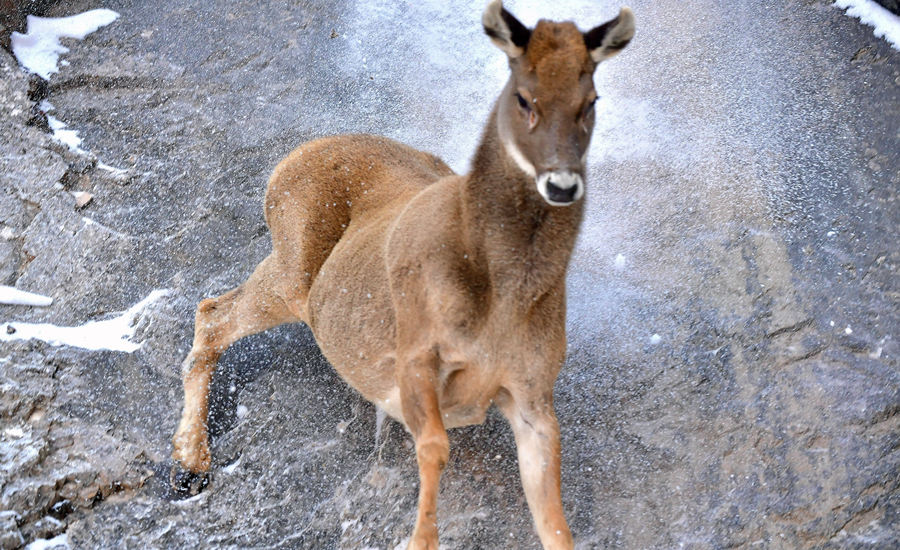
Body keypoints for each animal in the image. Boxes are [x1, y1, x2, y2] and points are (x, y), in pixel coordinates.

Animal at [170, 1, 635, 548]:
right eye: (523, 96)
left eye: (591, 99)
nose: (561, 182)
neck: (497, 306)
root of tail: (289, 161)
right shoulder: (415, 358)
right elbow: (433, 448)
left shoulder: (533, 392)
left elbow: (554, 518)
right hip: (289, 272)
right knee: (213, 313)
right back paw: (188, 469)